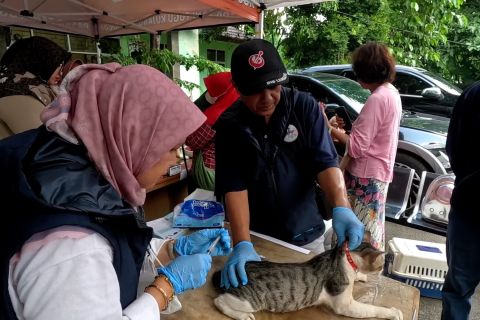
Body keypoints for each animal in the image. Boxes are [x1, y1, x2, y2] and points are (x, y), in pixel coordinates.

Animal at [212, 242, 404, 320]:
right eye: (381, 265)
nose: (382, 270)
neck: (344, 256)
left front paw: (361, 276)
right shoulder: (344, 304)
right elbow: (372, 309)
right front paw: (393, 312)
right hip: (250, 301)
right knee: (218, 301)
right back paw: (242, 316)